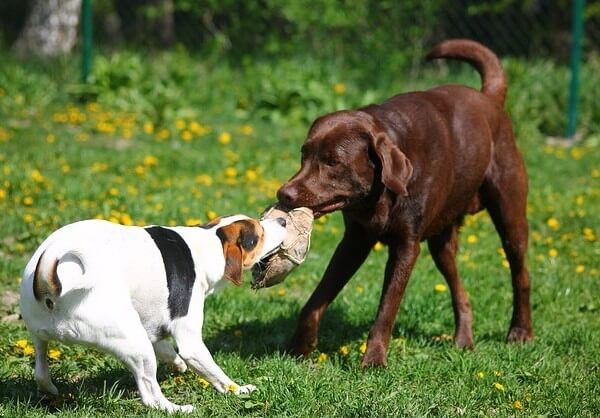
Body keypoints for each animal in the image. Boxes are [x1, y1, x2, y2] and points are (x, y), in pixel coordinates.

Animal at [19, 214, 288, 414]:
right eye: (259, 234)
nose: (283, 220)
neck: (208, 243)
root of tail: (50, 280)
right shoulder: (190, 342)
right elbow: (217, 374)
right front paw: (239, 390)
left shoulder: (152, 325)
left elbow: (167, 348)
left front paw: (177, 364)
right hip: (136, 345)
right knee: (150, 396)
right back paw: (178, 408)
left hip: (41, 336)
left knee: (40, 371)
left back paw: (50, 389)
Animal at [278, 39, 536, 366]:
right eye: (304, 154)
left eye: (333, 162)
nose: (283, 194)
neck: (381, 197)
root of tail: (489, 98)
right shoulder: (354, 242)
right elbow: (316, 299)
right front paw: (300, 347)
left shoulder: (406, 247)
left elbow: (386, 308)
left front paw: (374, 360)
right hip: (441, 243)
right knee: (459, 289)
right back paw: (464, 339)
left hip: (509, 214)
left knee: (520, 274)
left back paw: (521, 331)